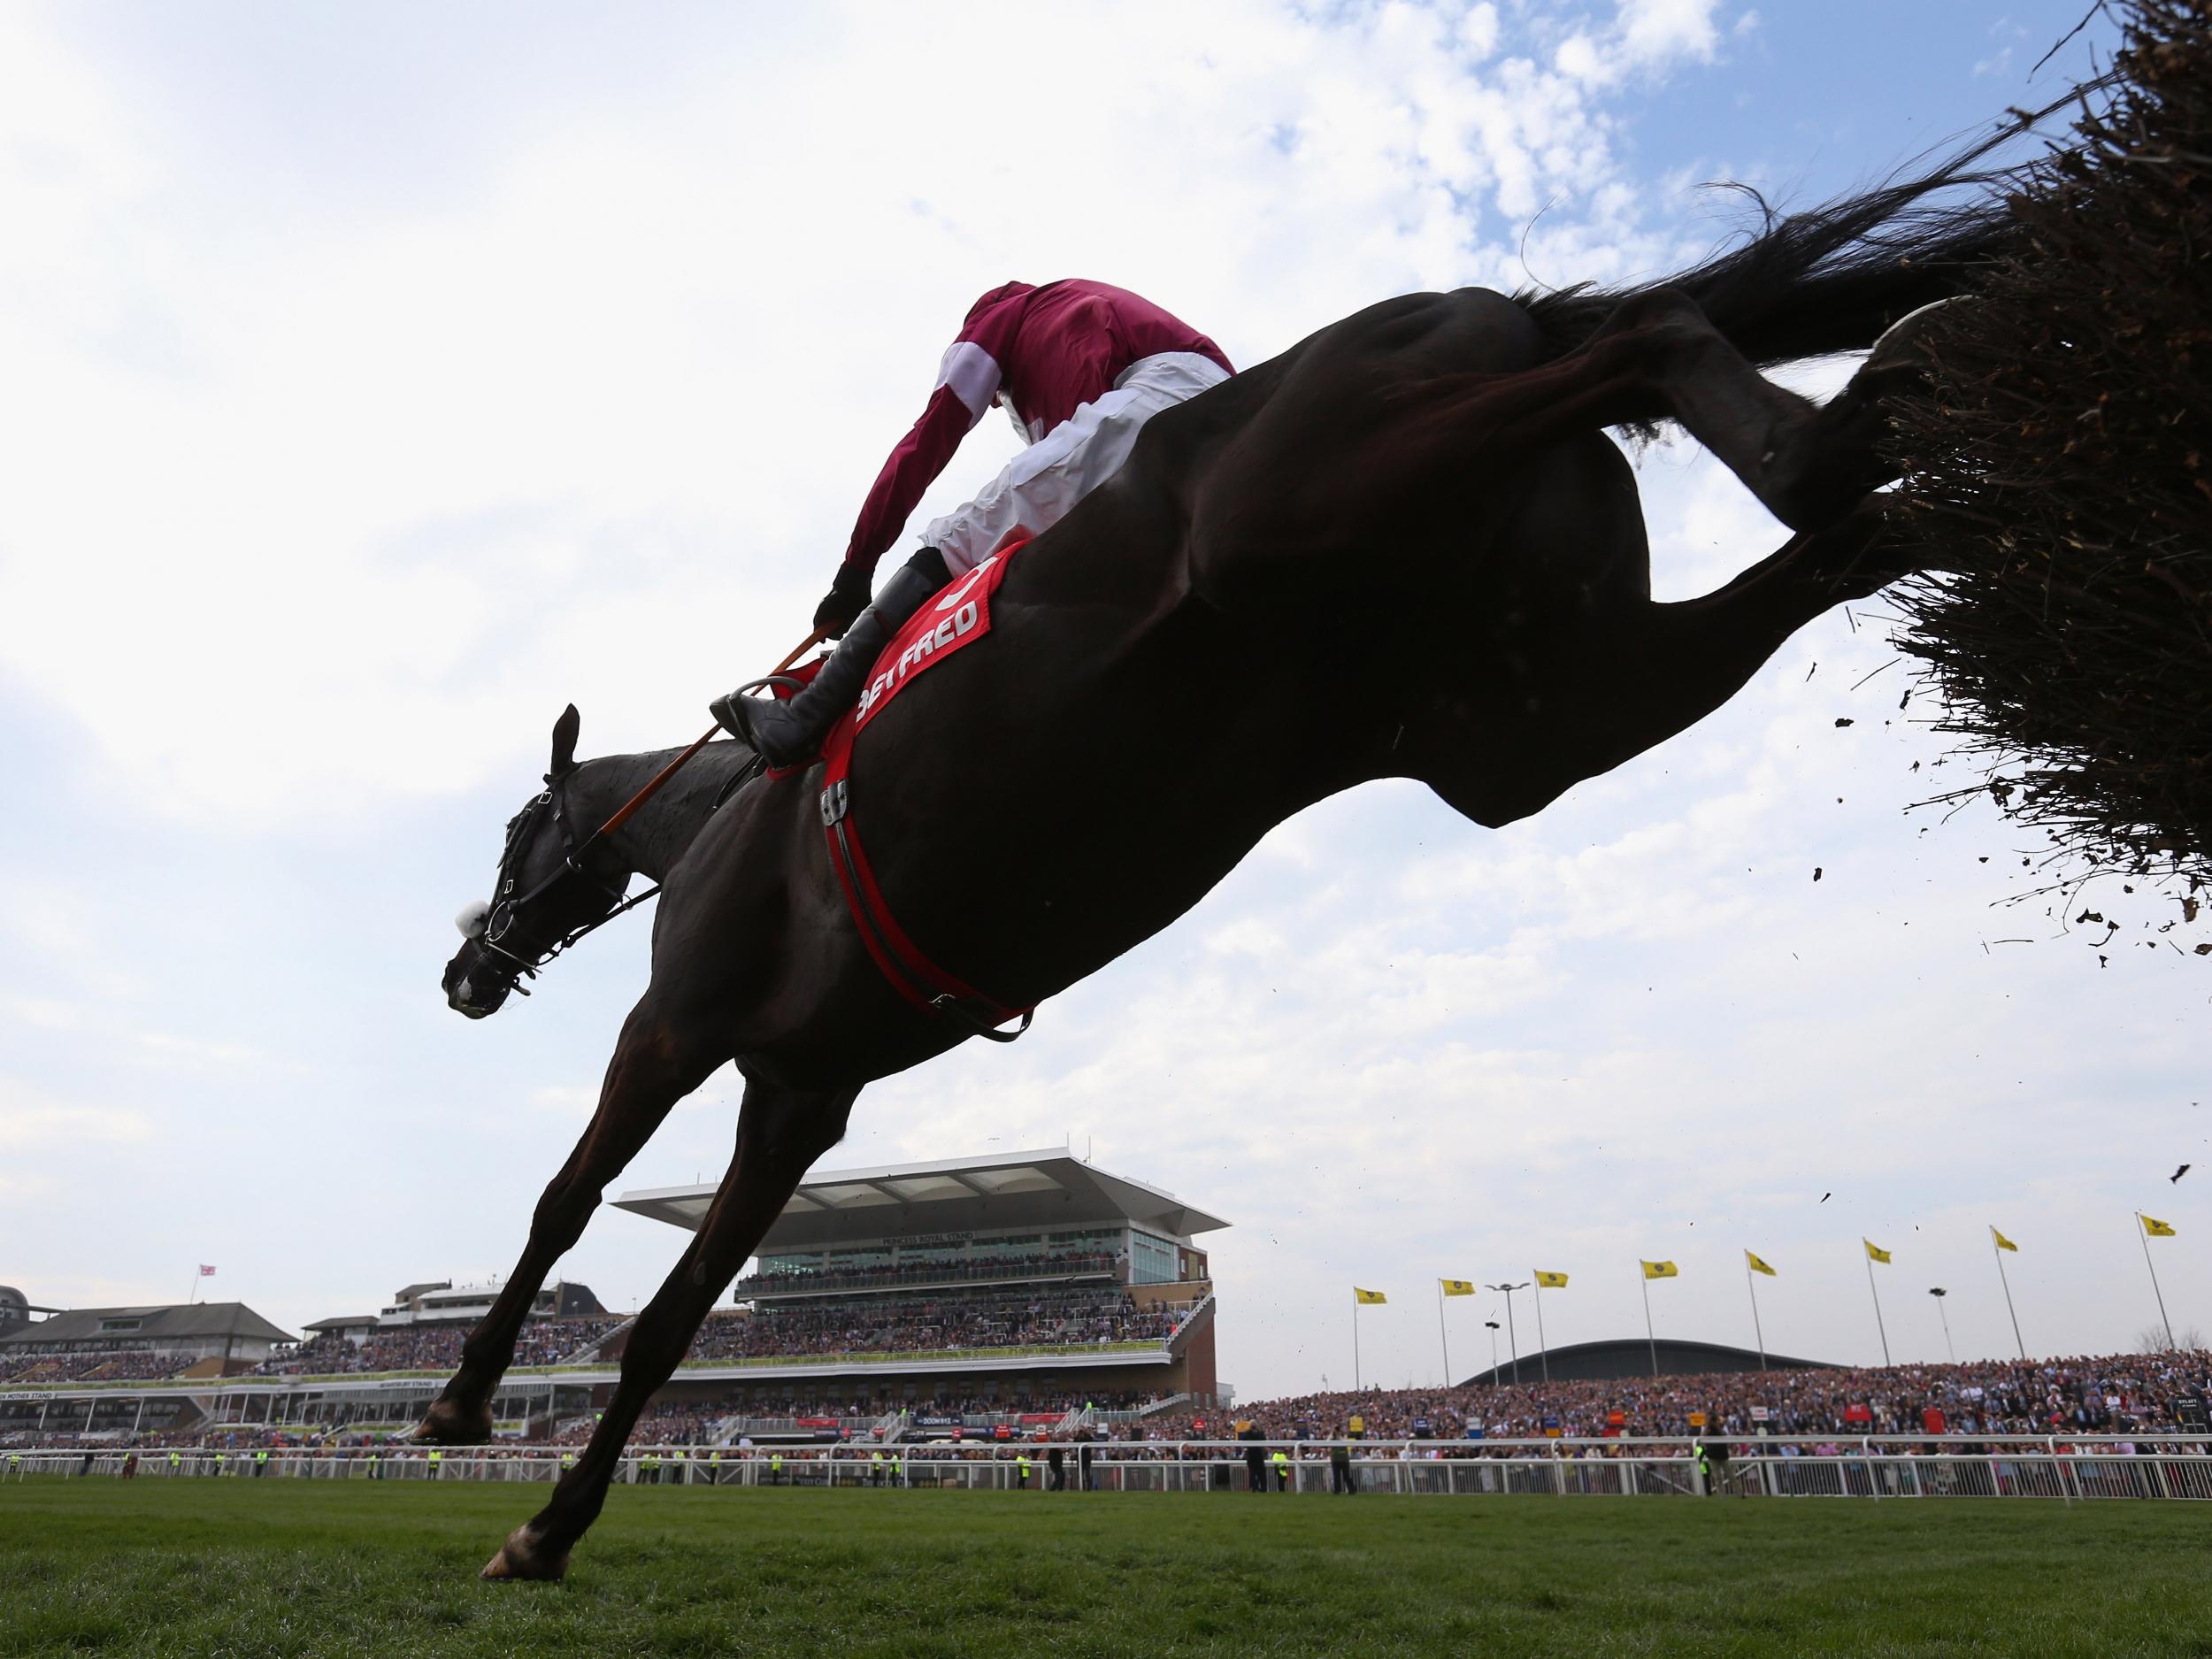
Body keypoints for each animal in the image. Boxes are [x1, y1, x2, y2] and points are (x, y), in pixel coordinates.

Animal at [431, 149, 2026, 1575]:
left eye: (516, 832)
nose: (462, 969)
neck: (720, 821)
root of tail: (1486, 303)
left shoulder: (678, 1022)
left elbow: (563, 1202)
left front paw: (459, 1400)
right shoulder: (800, 1094)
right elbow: (667, 1324)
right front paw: (547, 1528)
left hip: (1324, 501)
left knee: (1652, 344)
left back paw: (1877, 411)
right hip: (1535, 712)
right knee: (1827, 533)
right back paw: (1923, 441)